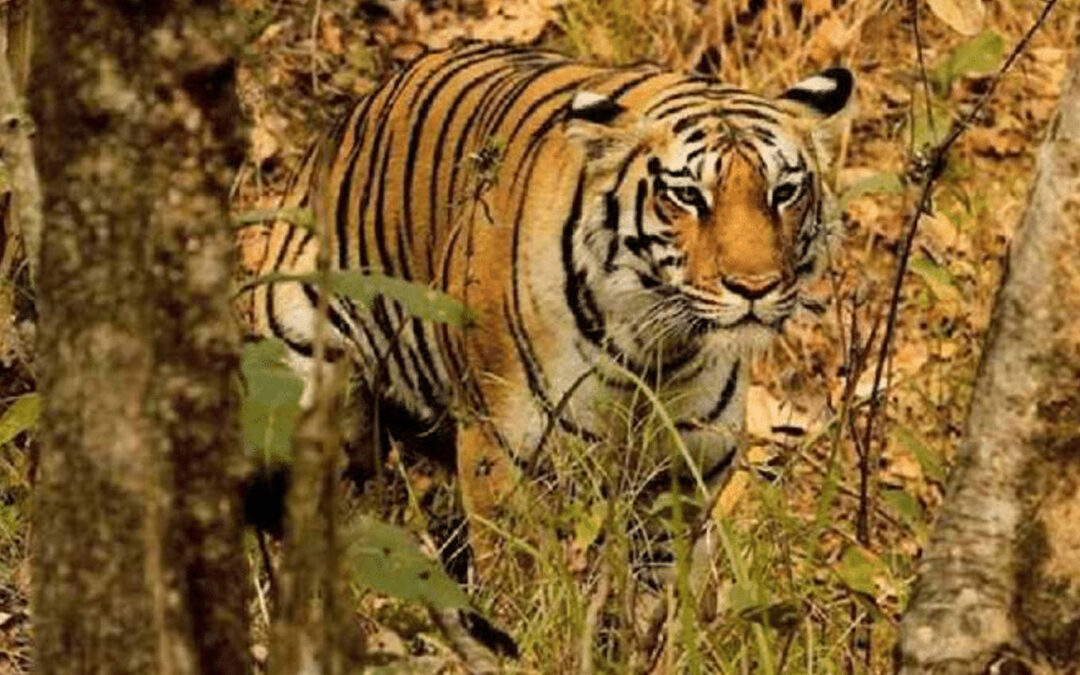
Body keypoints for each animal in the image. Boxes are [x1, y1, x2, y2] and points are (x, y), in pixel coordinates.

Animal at [241, 41, 853, 570]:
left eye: (784, 191)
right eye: (687, 196)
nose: (755, 286)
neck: (656, 349)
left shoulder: (682, 475)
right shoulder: (499, 452)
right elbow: (519, 576)